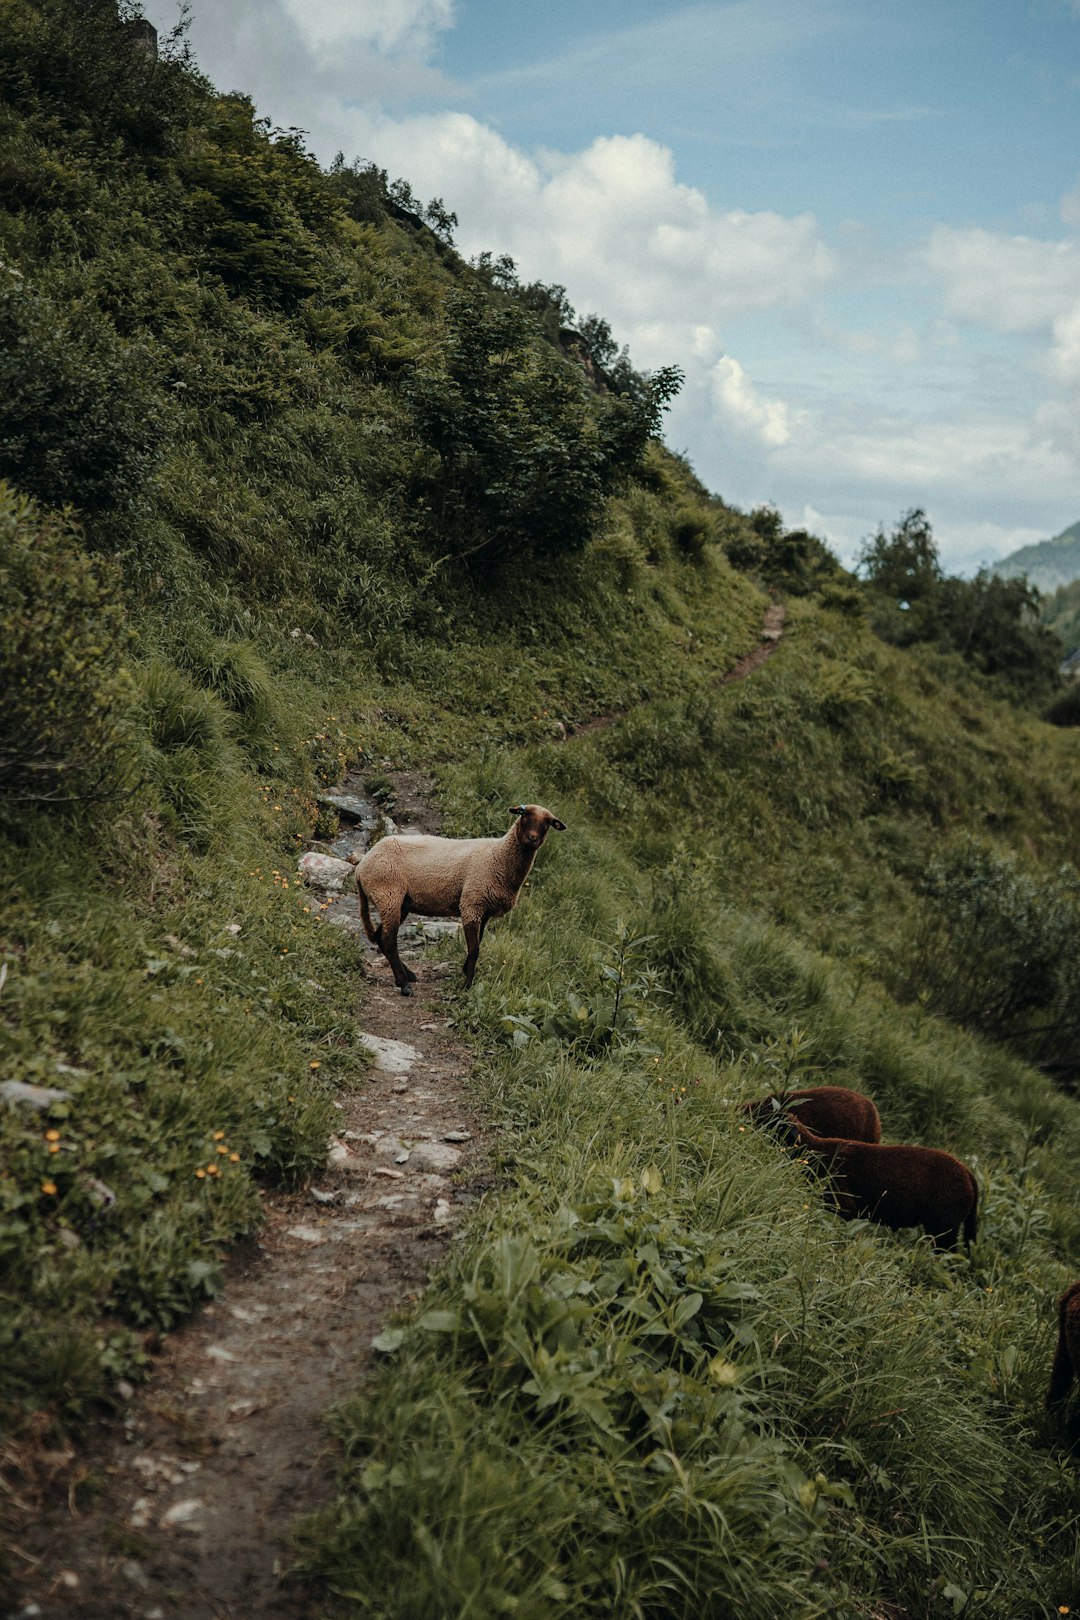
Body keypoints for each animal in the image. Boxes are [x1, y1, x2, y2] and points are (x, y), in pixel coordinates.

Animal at [356, 803, 573, 991]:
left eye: (548, 823)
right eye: (524, 814)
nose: (532, 838)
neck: (499, 855)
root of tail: (361, 867)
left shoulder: (483, 910)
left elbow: (478, 943)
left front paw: (465, 971)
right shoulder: (471, 904)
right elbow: (475, 949)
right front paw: (467, 985)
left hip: (400, 903)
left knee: (380, 937)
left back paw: (407, 974)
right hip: (388, 894)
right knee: (389, 940)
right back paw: (404, 984)